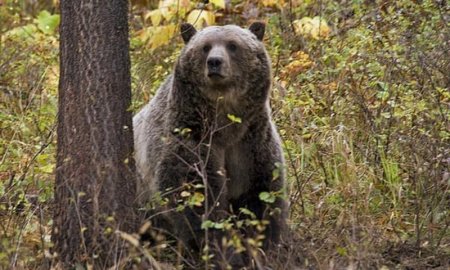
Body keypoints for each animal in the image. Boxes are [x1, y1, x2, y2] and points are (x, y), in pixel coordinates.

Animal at [134, 21, 288, 266]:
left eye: (233, 45)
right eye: (205, 47)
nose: (215, 62)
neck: (225, 124)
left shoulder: (251, 143)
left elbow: (261, 196)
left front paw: (261, 248)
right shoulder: (191, 138)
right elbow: (196, 198)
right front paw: (225, 253)